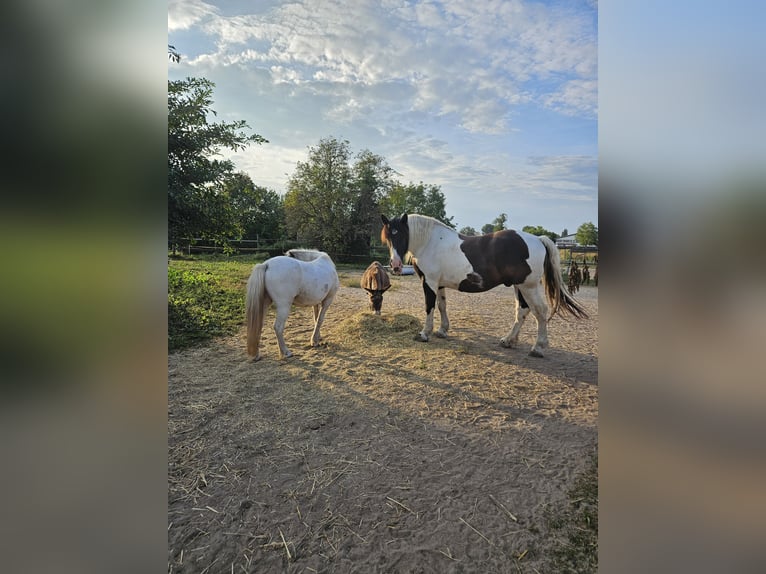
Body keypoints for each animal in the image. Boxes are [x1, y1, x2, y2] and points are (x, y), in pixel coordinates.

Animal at [380, 215, 588, 358]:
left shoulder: (429, 282)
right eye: (388, 237)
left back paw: (538, 347)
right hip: (519, 286)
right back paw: (508, 340)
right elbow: (442, 305)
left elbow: (429, 307)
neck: (430, 242)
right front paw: (442, 330)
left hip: (528, 286)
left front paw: (424, 333)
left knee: (540, 311)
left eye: (401, 235)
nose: (395, 265)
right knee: (522, 310)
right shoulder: (439, 284)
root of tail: (538, 239)